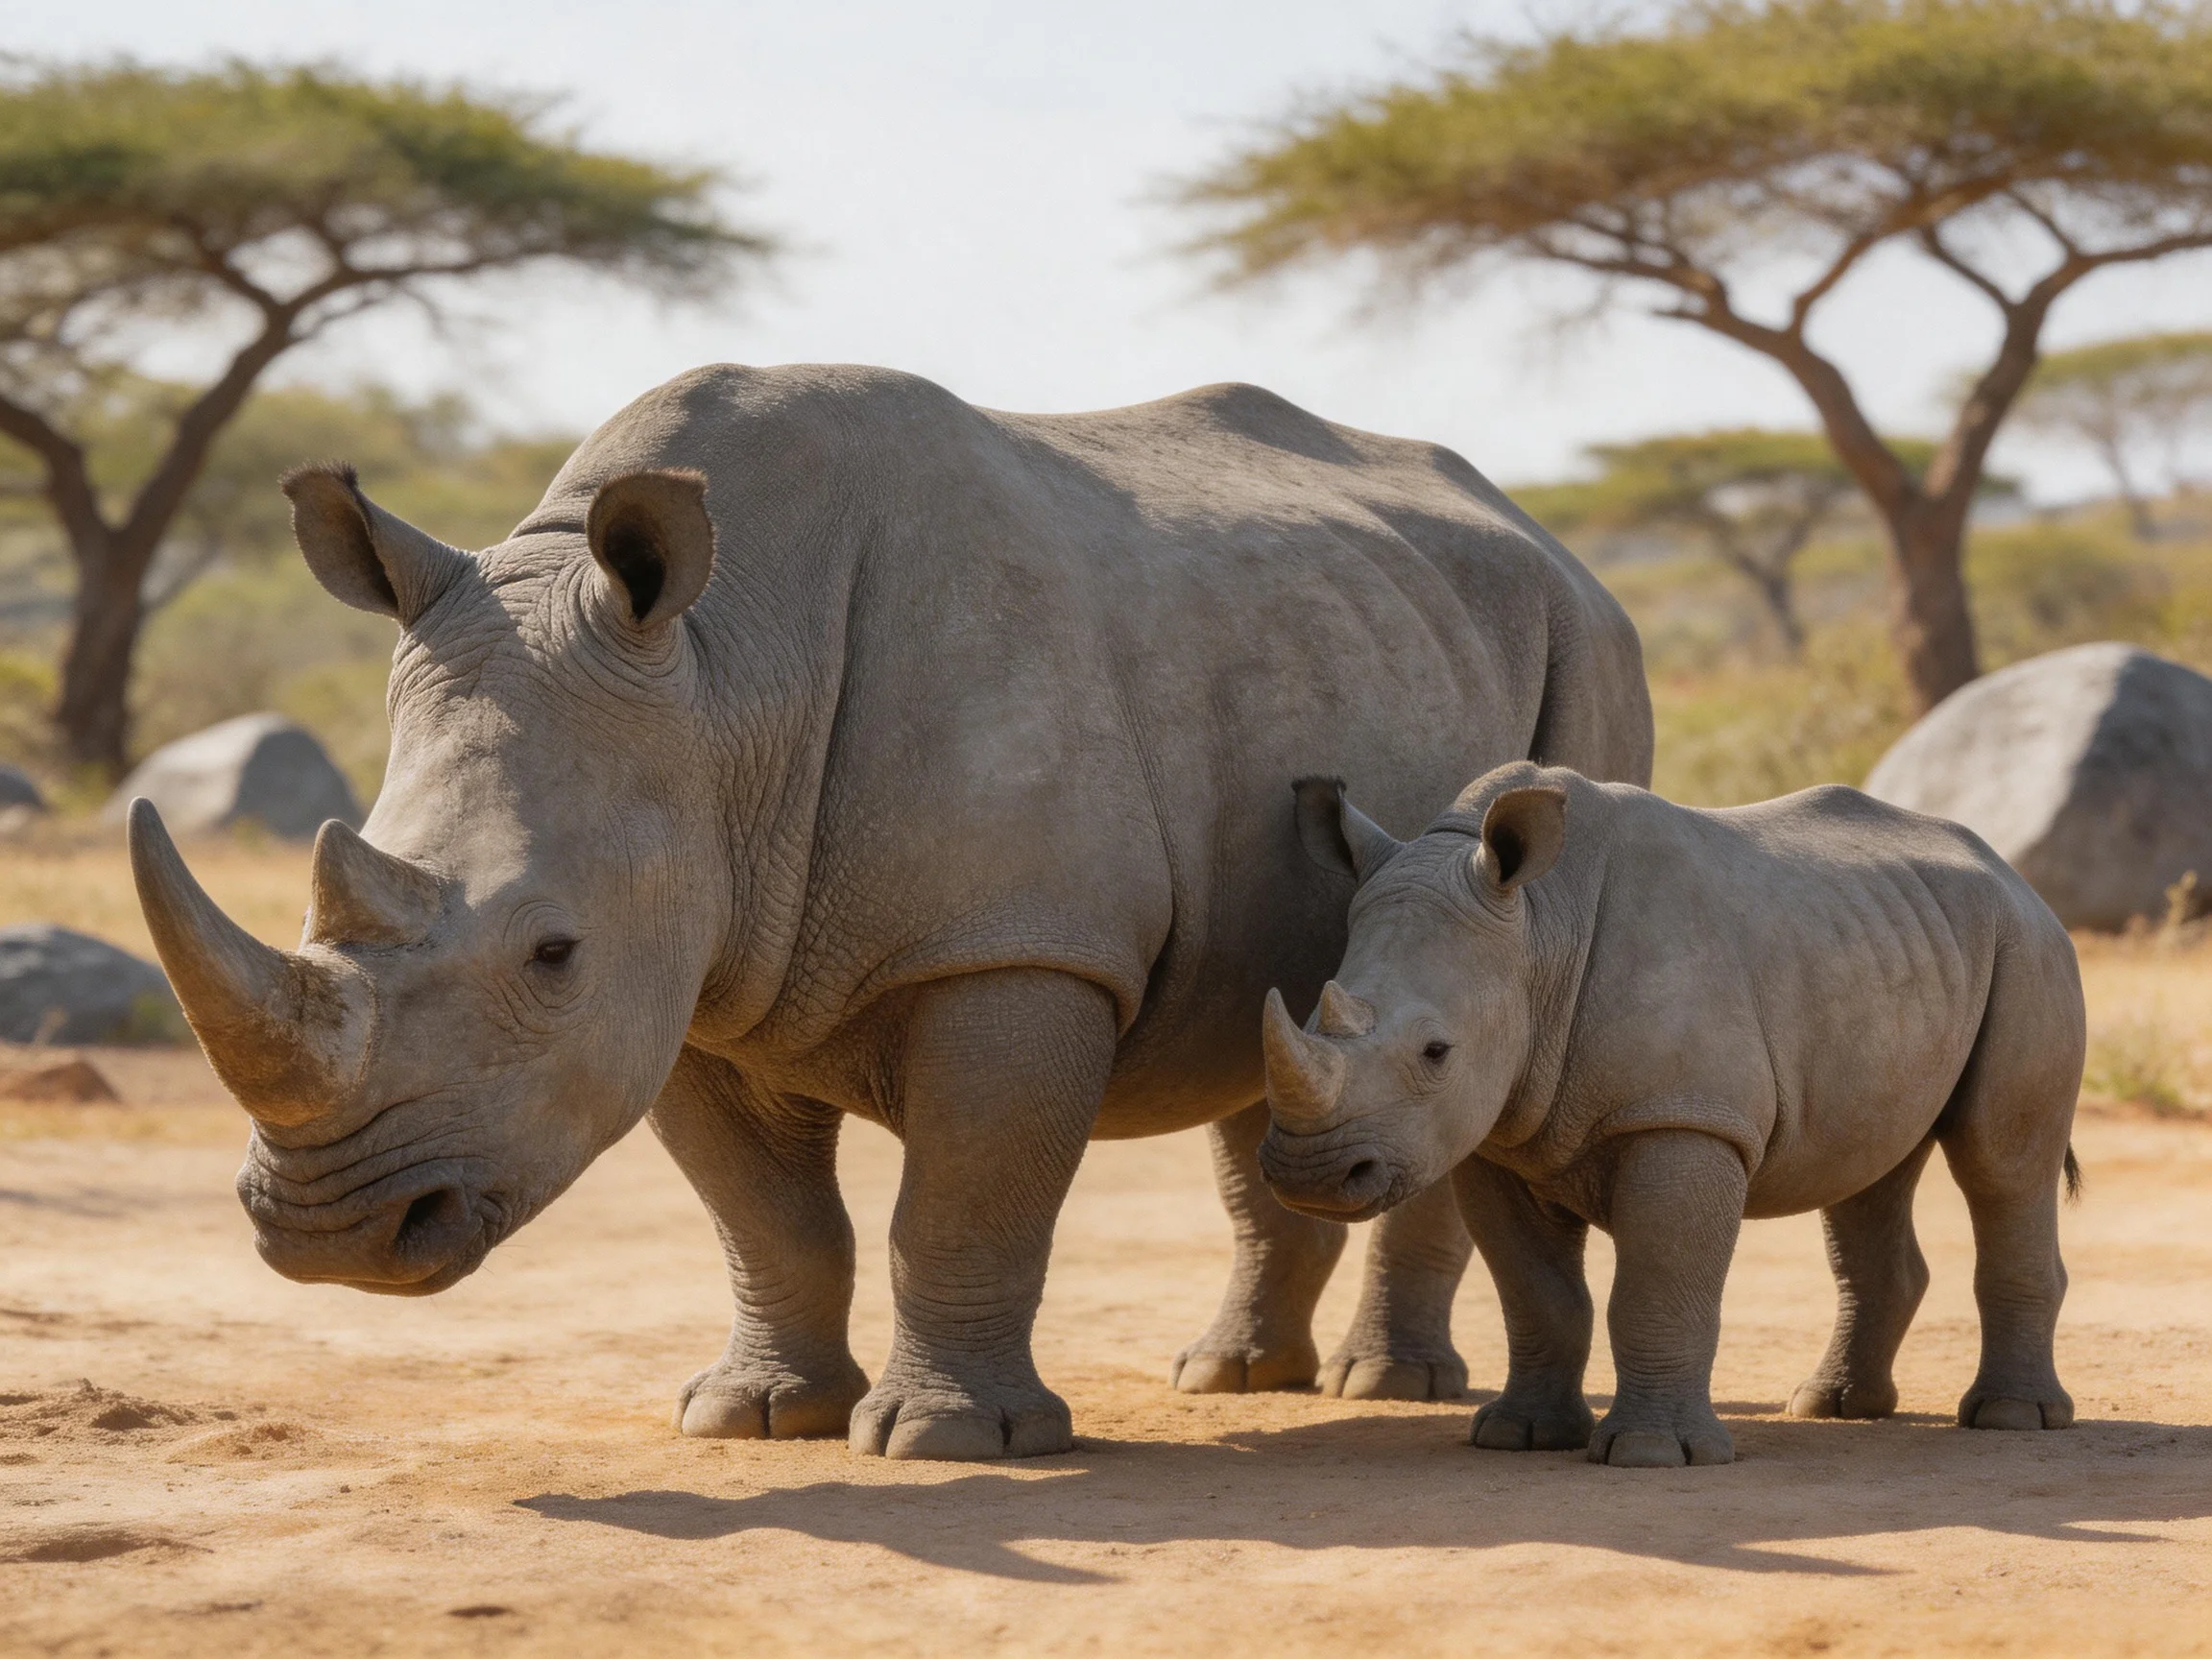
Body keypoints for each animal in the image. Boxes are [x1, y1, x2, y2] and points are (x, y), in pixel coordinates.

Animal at [127, 365, 1651, 1460]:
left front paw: (945, 1441)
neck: (725, 675)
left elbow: (964, 1198)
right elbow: (766, 1217)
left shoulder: (1014, 948)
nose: (328, 1237)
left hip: (1587, 651)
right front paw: (753, 1417)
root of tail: (1553, 539)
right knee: (1279, 1024)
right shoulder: (691, 970)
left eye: (552, 953)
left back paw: (1387, 1388)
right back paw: (1230, 1379)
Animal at [1259, 763, 2083, 1467]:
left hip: (2028, 947)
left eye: (1436, 1052)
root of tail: (2010, 872)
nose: (1311, 1173)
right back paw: (1835, 1406)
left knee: (2001, 1164)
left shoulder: (1684, 1117)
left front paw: (1652, 1454)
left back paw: (2012, 1418)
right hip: (1894, 944)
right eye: (1312, 1013)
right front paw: (1519, 1435)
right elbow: (1535, 1294)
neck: (1536, 934)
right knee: (1866, 1171)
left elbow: (1656, 1287)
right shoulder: (1497, 1137)